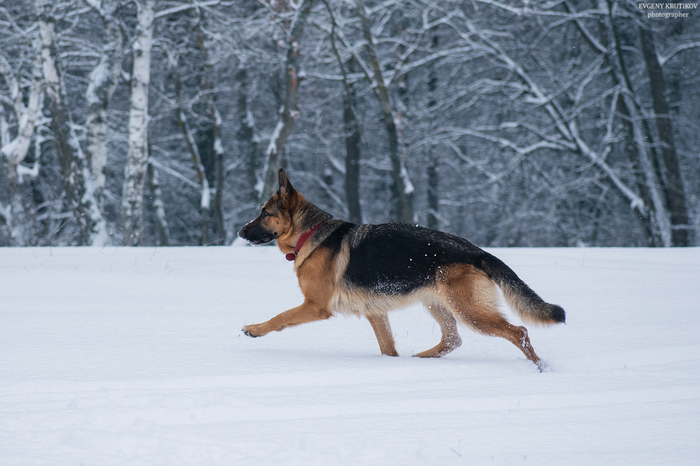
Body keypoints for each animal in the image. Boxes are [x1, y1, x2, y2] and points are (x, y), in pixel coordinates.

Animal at [239, 169, 564, 370]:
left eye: (264, 213)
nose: (240, 232)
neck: (310, 233)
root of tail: (477, 251)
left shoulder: (315, 306)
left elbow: (280, 317)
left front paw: (254, 329)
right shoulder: (375, 313)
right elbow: (387, 348)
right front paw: (393, 364)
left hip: (469, 310)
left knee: (518, 331)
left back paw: (539, 367)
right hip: (438, 304)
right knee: (452, 339)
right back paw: (419, 359)